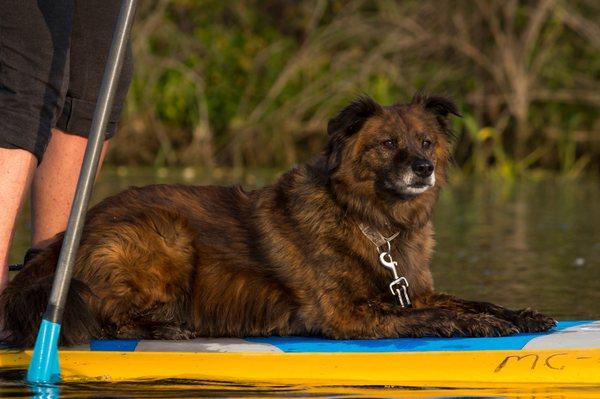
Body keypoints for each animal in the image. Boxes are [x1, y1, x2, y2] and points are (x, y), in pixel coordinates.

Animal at [0, 92, 556, 346]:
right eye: (387, 144)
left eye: (425, 141)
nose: (424, 168)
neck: (372, 223)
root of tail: (67, 238)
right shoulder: (348, 317)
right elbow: (431, 317)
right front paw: (481, 324)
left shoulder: (410, 289)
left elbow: (465, 298)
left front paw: (520, 314)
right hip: (167, 235)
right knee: (105, 313)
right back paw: (165, 327)